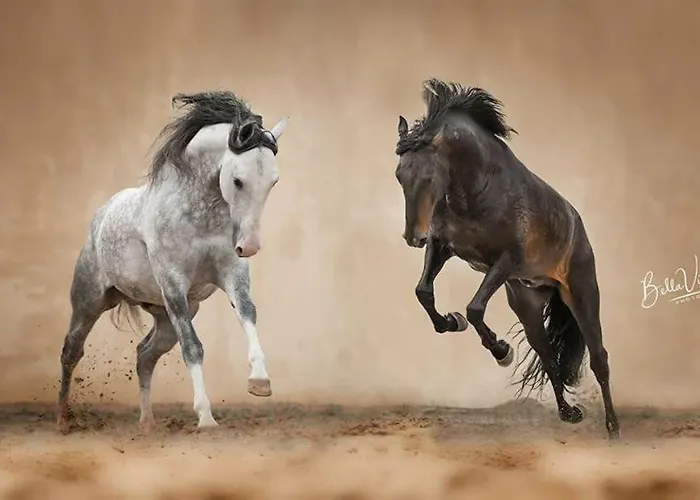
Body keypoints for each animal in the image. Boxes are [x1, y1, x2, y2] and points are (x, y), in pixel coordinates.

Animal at [57, 91, 289, 433]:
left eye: (273, 181)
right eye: (237, 180)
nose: (249, 246)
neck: (199, 212)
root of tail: (101, 216)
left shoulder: (231, 273)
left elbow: (248, 313)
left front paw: (259, 381)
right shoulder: (174, 285)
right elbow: (193, 347)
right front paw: (206, 418)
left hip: (164, 316)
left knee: (144, 355)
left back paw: (147, 422)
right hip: (90, 301)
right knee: (72, 350)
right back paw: (62, 418)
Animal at [393, 78, 619, 441]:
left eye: (429, 177)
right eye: (400, 175)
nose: (414, 237)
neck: (478, 186)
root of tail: (577, 226)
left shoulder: (505, 262)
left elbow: (475, 308)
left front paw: (502, 351)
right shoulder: (442, 245)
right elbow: (424, 292)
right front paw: (451, 321)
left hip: (582, 294)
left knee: (599, 358)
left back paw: (613, 428)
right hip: (526, 303)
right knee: (548, 355)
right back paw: (569, 413)